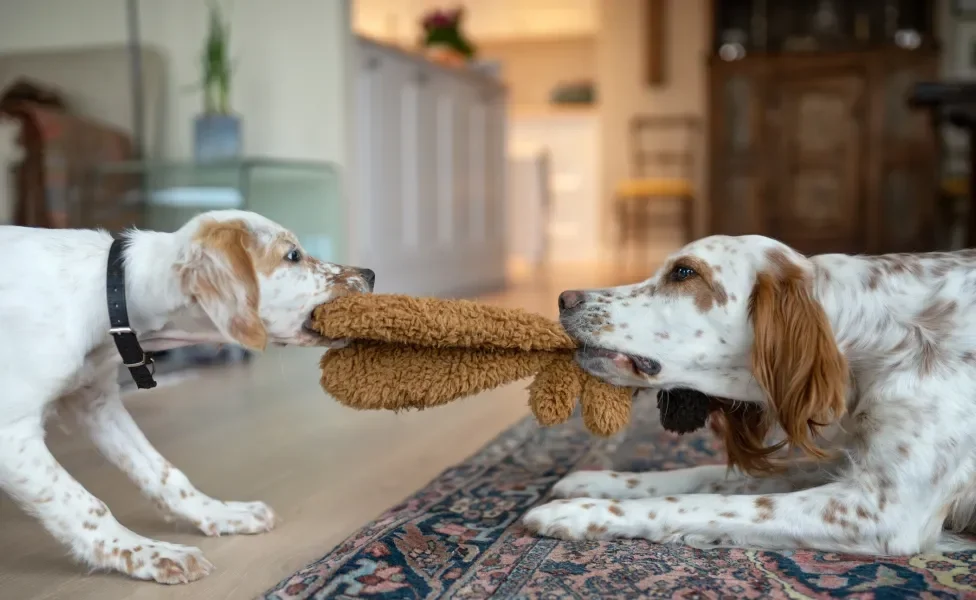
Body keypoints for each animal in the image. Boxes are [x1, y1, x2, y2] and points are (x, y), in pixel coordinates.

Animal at [0, 210, 372, 580]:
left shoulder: (96, 403)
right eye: (292, 255)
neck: (110, 297)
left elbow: (162, 472)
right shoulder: (12, 436)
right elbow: (85, 504)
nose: (370, 274)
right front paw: (147, 554)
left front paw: (220, 514)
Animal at [528, 234, 976, 556]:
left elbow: (701, 504)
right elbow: (709, 477)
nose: (564, 298)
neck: (877, 337)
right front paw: (595, 481)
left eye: (684, 272)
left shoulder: (882, 508)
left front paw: (580, 513)